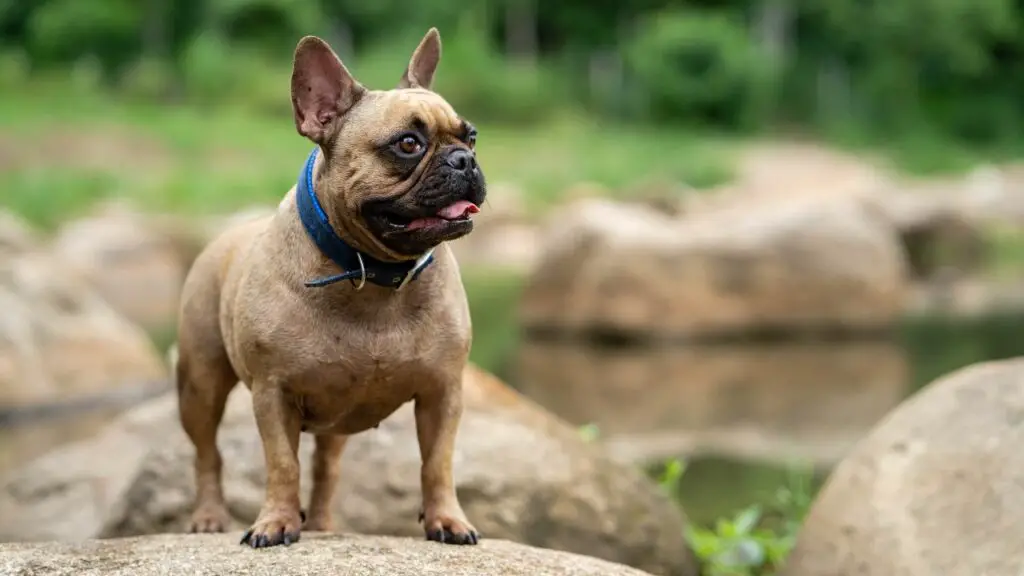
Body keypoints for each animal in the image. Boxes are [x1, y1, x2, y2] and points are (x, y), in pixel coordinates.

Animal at [177, 26, 487, 545]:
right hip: (199, 385)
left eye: (471, 136)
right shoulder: (273, 394)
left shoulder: (443, 393)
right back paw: (208, 517)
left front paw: (447, 519)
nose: (465, 160)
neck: (375, 273)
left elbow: (437, 464)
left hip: (335, 422)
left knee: (327, 469)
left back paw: (322, 524)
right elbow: (282, 464)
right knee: (206, 453)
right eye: (408, 144)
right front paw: (274, 522)